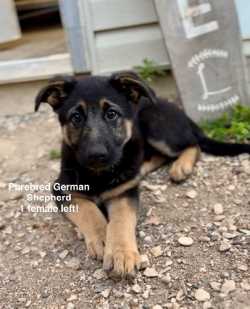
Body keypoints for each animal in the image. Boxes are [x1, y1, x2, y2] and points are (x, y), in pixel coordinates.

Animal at [34, 71, 250, 276]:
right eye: (76, 117)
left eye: (111, 114)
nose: (96, 155)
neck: (99, 174)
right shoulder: (61, 189)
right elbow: (88, 210)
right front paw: (103, 237)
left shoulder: (124, 192)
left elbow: (121, 219)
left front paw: (120, 252)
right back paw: (142, 169)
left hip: (155, 127)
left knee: (193, 144)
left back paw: (181, 166)